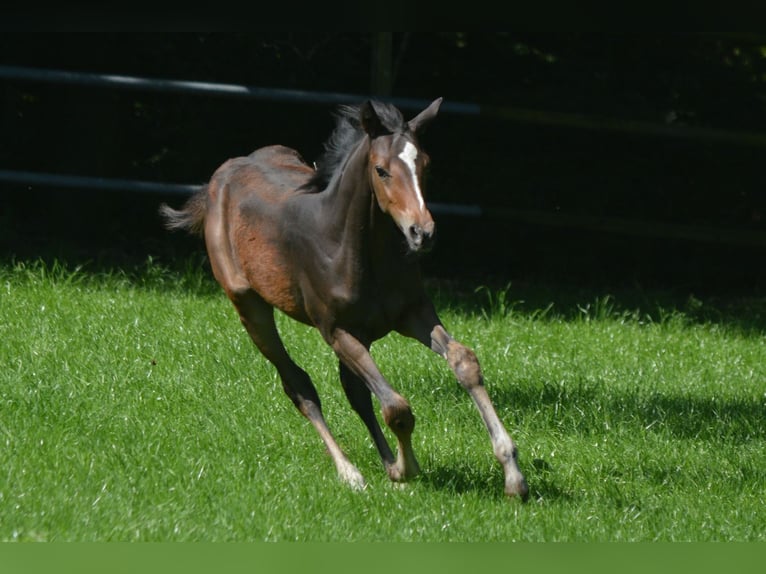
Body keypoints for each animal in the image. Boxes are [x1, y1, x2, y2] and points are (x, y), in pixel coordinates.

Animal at [160, 98, 536, 500]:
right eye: (382, 170)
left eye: (426, 165)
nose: (422, 233)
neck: (352, 246)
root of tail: (217, 180)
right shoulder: (336, 331)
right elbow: (396, 407)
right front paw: (407, 468)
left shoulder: (413, 314)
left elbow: (463, 362)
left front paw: (513, 475)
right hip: (250, 308)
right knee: (299, 385)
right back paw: (350, 472)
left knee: (355, 392)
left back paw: (385, 464)